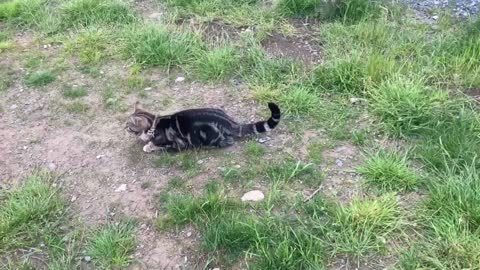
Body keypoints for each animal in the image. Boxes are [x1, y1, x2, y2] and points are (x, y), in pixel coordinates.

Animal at [125, 102, 282, 153]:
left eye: (128, 125)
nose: (123, 127)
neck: (154, 124)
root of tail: (230, 122)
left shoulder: (175, 144)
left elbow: (158, 146)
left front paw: (148, 146)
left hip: (211, 137)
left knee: (227, 141)